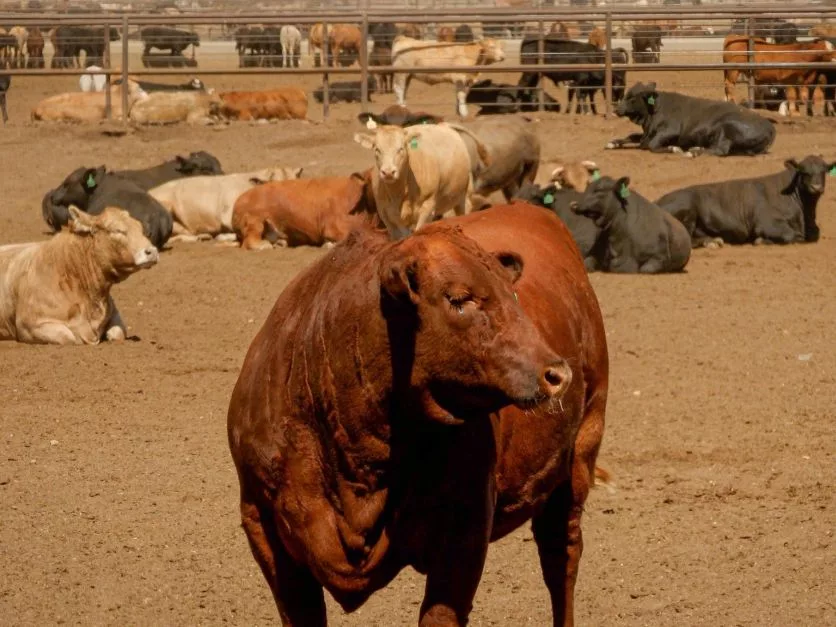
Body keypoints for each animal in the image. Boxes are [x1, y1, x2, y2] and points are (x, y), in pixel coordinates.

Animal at [0, 207, 158, 345]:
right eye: (117, 230)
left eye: (141, 229)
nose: (152, 251)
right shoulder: (28, 325)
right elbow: (69, 337)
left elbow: (118, 333)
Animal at [227, 202, 608, 627]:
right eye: (458, 298)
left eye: (513, 295)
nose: (557, 374)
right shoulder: (260, 521)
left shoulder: (465, 528)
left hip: (581, 453)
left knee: (561, 558)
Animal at [354, 123, 487, 238]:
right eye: (377, 149)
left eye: (401, 148)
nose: (388, 172)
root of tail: (443, 124)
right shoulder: (386, 216)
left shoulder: (427, 208)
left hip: (463, 197)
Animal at [605, 81, 776, 157]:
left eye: (632, 98)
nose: (616, 110)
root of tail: (769, 126)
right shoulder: (647, 134)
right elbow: (633, 137)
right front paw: (612, 143)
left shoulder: (670, 131)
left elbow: (652, 145)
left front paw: (673, 148)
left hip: (726, 127)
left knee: (720, 150)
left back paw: (694, 151)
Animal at [655, 155, 834, 246]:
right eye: (804, 171)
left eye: (823, 171)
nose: (816, 187)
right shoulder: (766, 223)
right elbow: (791, 236)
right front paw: (761, 241)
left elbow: (814, 234)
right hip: (688, 210)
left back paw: (713, 240)